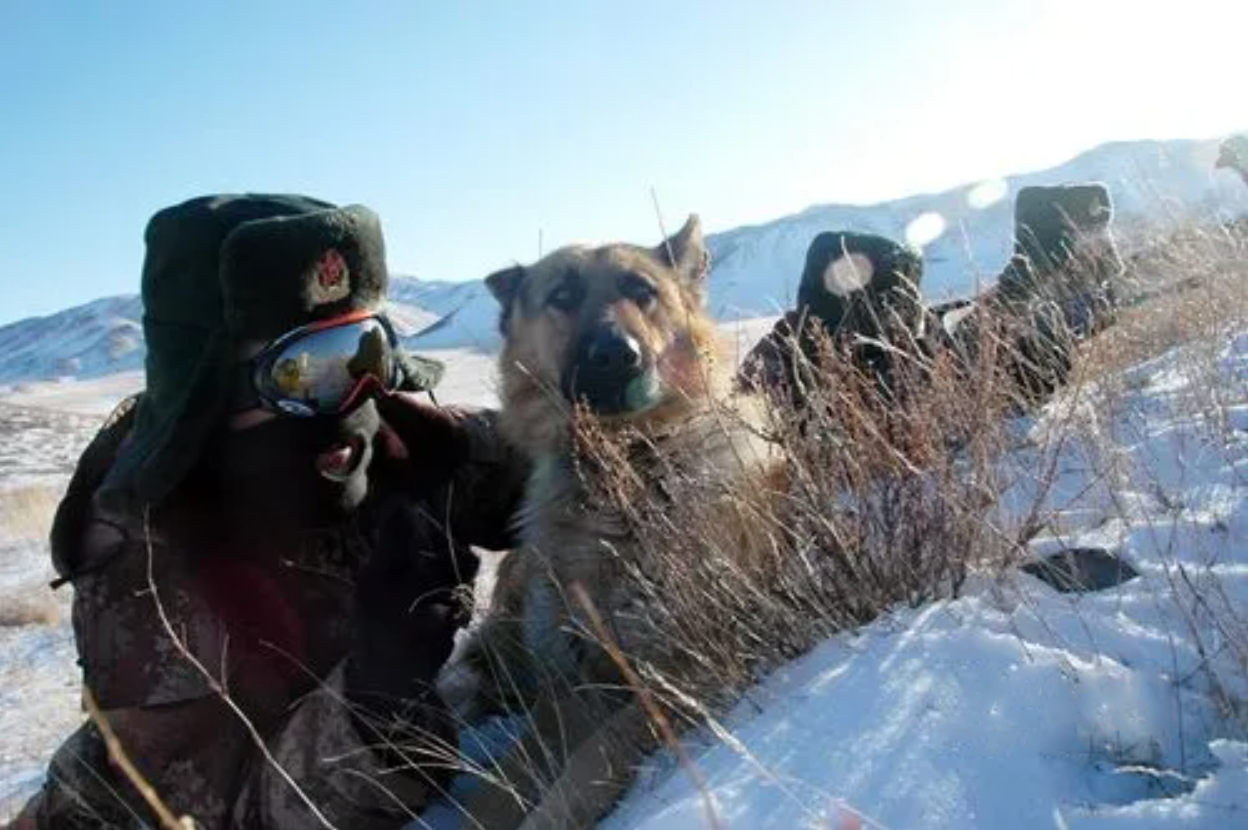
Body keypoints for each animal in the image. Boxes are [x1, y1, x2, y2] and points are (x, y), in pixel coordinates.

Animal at [449, 217, 778, 823]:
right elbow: (501, 785)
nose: (615, 355)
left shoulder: (677, 672)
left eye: (641, 290)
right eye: (563, 296)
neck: (628, 472)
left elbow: (588, 764)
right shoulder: (576, 689)